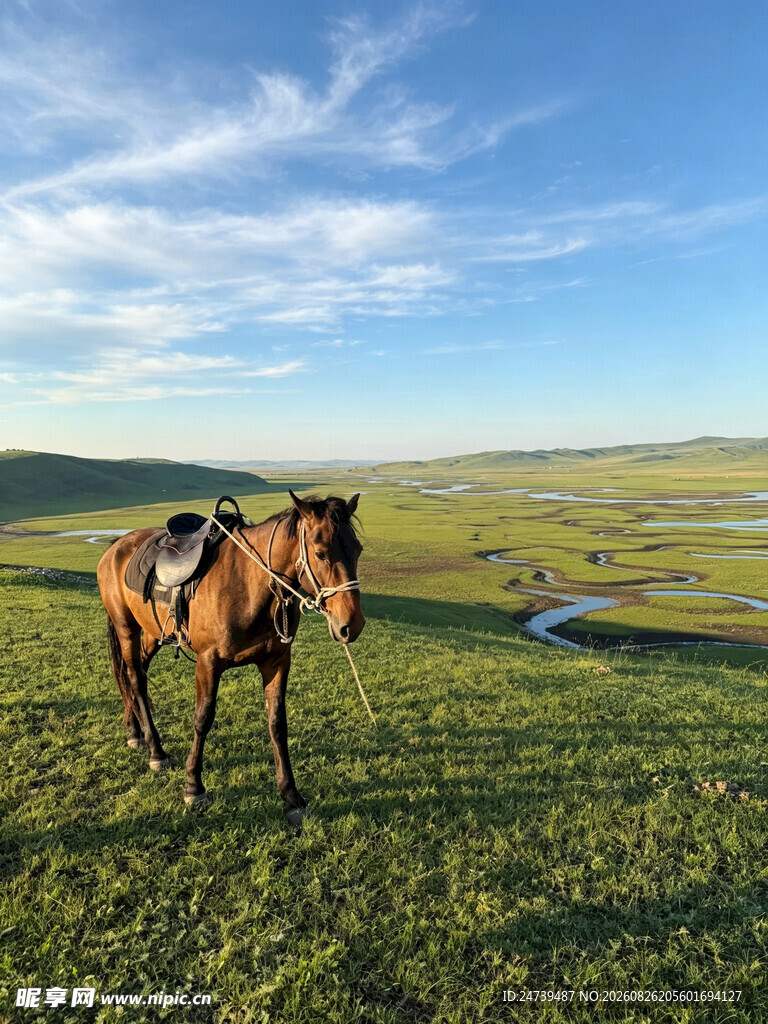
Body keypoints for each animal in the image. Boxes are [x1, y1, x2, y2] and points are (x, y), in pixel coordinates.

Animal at [96, 491, 364, 824]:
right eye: (321, 553)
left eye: (358, 549)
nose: (351, 625)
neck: (250, 585)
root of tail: (116, 546)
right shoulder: (208, 663)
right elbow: (202, 718)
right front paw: (193, 787)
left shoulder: (277, 662)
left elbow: (277, 724)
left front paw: (291, 797)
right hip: (126, 629)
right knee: (134, 677)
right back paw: (155, 751)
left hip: (152, 632)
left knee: (135, 676)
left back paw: (135, 732)